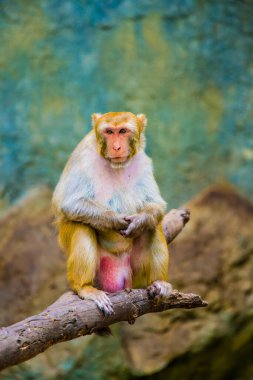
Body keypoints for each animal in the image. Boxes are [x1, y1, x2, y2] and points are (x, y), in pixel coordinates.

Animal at [51, 111, 174, 316]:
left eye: (123, 131)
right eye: (109, 131)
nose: (116, 147)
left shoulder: (144, 161)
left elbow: (155, 204)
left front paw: (138, 222)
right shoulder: (83, 157)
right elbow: (71, 204)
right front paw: (115, 221)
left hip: (136, 274)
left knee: (153, 226)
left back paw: (157, 283)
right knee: (81, 226)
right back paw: (84, 287)